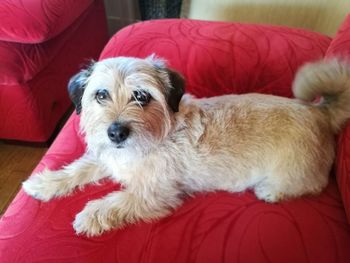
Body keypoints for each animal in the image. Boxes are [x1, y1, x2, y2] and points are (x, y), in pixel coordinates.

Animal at [22, 55, 350, 237]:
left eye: (141, 96)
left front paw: (90, 215)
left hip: (294, 174)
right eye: (101, 95)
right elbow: (77, 169)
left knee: (308, 185)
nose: (115, 132)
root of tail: (320, 112)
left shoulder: (154, 194)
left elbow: (116, 201)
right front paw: (44, 183)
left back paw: (270, 191)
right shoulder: (107, 158)